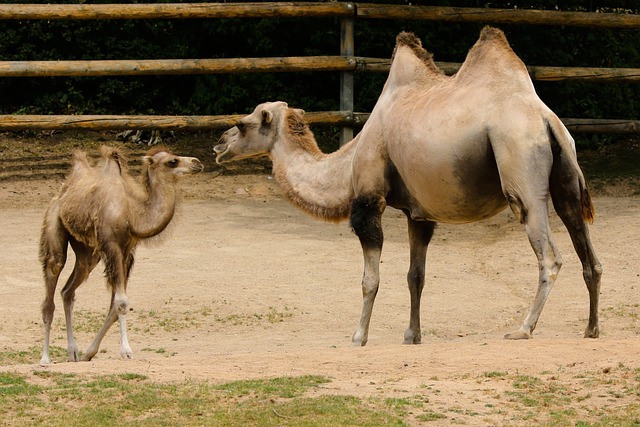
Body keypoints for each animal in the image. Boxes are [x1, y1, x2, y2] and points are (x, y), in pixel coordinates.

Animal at [38, 145, 202, 364]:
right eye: (172, 161)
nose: (197, 162)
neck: (130, 214)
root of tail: (63, 189)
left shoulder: (127, 251)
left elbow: (114, 306)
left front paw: (89, 353)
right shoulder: (112, 246)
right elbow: (121, 302)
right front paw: (126, 351)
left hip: (87, 253)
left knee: (68, 291)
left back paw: (73, 352)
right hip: (54, 222)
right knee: (52, 277)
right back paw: (45, 358)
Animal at [218, 25, 604, 348]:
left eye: (243, 123)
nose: (219, 144)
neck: (349, 160)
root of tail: (545, 118)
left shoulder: (368, 201)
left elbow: (370, 279)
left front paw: (358, 336)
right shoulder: (418, 214)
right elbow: (415, 275)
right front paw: (411, 335)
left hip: (520, 168)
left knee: (549, 255)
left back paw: (524, 328)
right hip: (567, 174)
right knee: (589, 252)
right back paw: (591, 328)